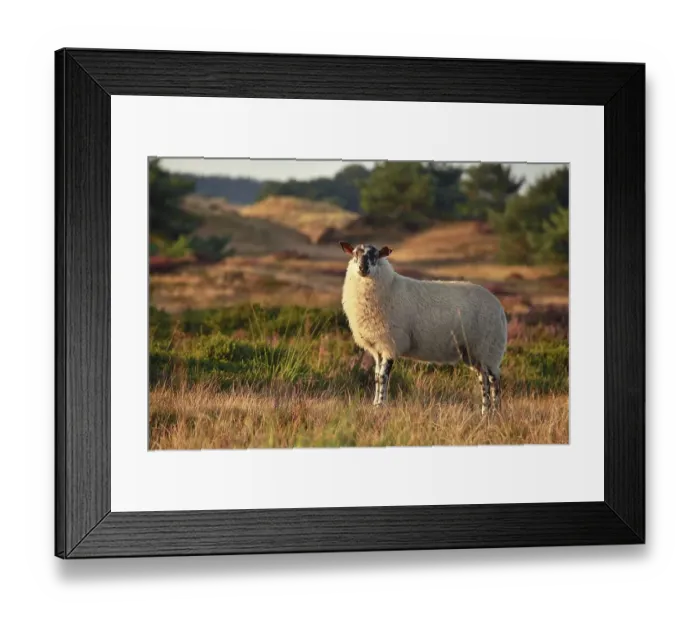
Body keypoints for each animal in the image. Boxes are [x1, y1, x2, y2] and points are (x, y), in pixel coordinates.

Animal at [339, 241, 508, 414]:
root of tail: (499, 308)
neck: (389, 286)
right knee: (483, 380)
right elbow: (377, 376)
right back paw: (485, 413)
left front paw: (381, 405)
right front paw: (375, 405)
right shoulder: (378, 347)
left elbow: (383, 377)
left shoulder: (391, 343)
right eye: (355, 254)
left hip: (489, 348)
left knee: (494, 380)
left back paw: (496, 412)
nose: (363, 268)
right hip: (474, 353)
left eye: (375, 255)